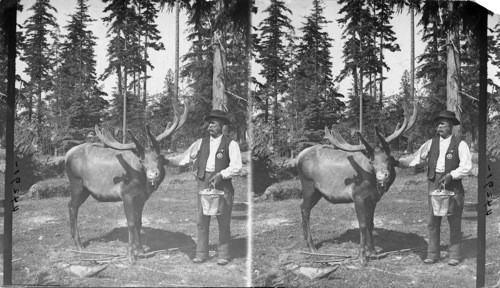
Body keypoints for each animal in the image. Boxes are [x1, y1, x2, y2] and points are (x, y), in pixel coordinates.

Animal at [63, 104, 187, 262]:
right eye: (142, 160)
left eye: (159, 157)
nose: (152, 174)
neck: (141, 182)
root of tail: (66, 155)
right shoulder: (126, 194)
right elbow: (131, 223)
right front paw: (130, 254)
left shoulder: (141, 197)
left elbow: (139, 222)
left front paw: (141, 250)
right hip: (76, 183)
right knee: (72, 206)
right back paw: (79, 244)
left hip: (85, 189)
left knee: (71, 205)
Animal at [296, 103, 418, 266]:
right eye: (372, 161)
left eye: (388, 157)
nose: (382, 175)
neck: (372, 183)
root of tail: (298, 157)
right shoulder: (358, 196)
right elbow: (362, 225)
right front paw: (362, 257)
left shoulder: (373, 199)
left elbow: (371, 223)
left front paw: (373, 251)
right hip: (308, 184)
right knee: (305, 209)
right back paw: (311, 246)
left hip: (317, 192)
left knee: (304, 207)